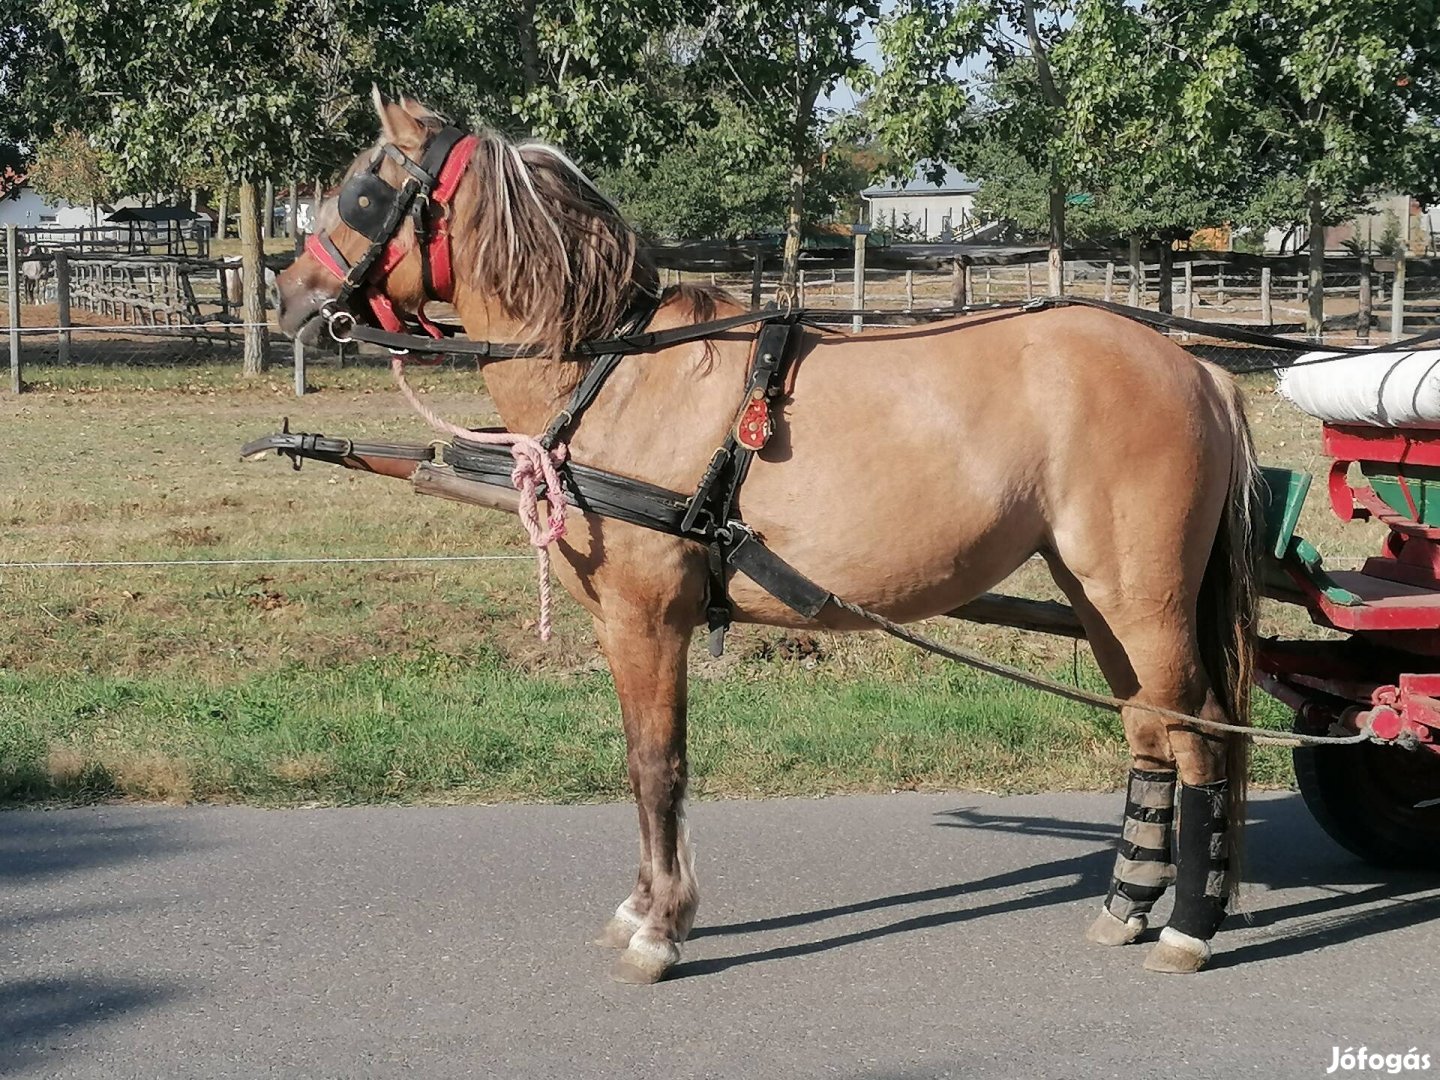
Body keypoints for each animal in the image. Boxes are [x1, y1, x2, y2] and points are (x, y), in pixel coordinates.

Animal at [275, 97, 1255, 984]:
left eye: (364, 189)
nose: (289, 294)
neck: (613, 372)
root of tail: (1197, 369)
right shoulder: (621, 623)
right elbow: (641, 760)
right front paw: (644, 906)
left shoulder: (647, 618)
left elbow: (657, 765)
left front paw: (660, 930)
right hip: (1098, 593)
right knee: (1148, 728)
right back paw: (1126, 907)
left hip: (1141, 593)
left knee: (1200, 731)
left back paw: (1187, 928)